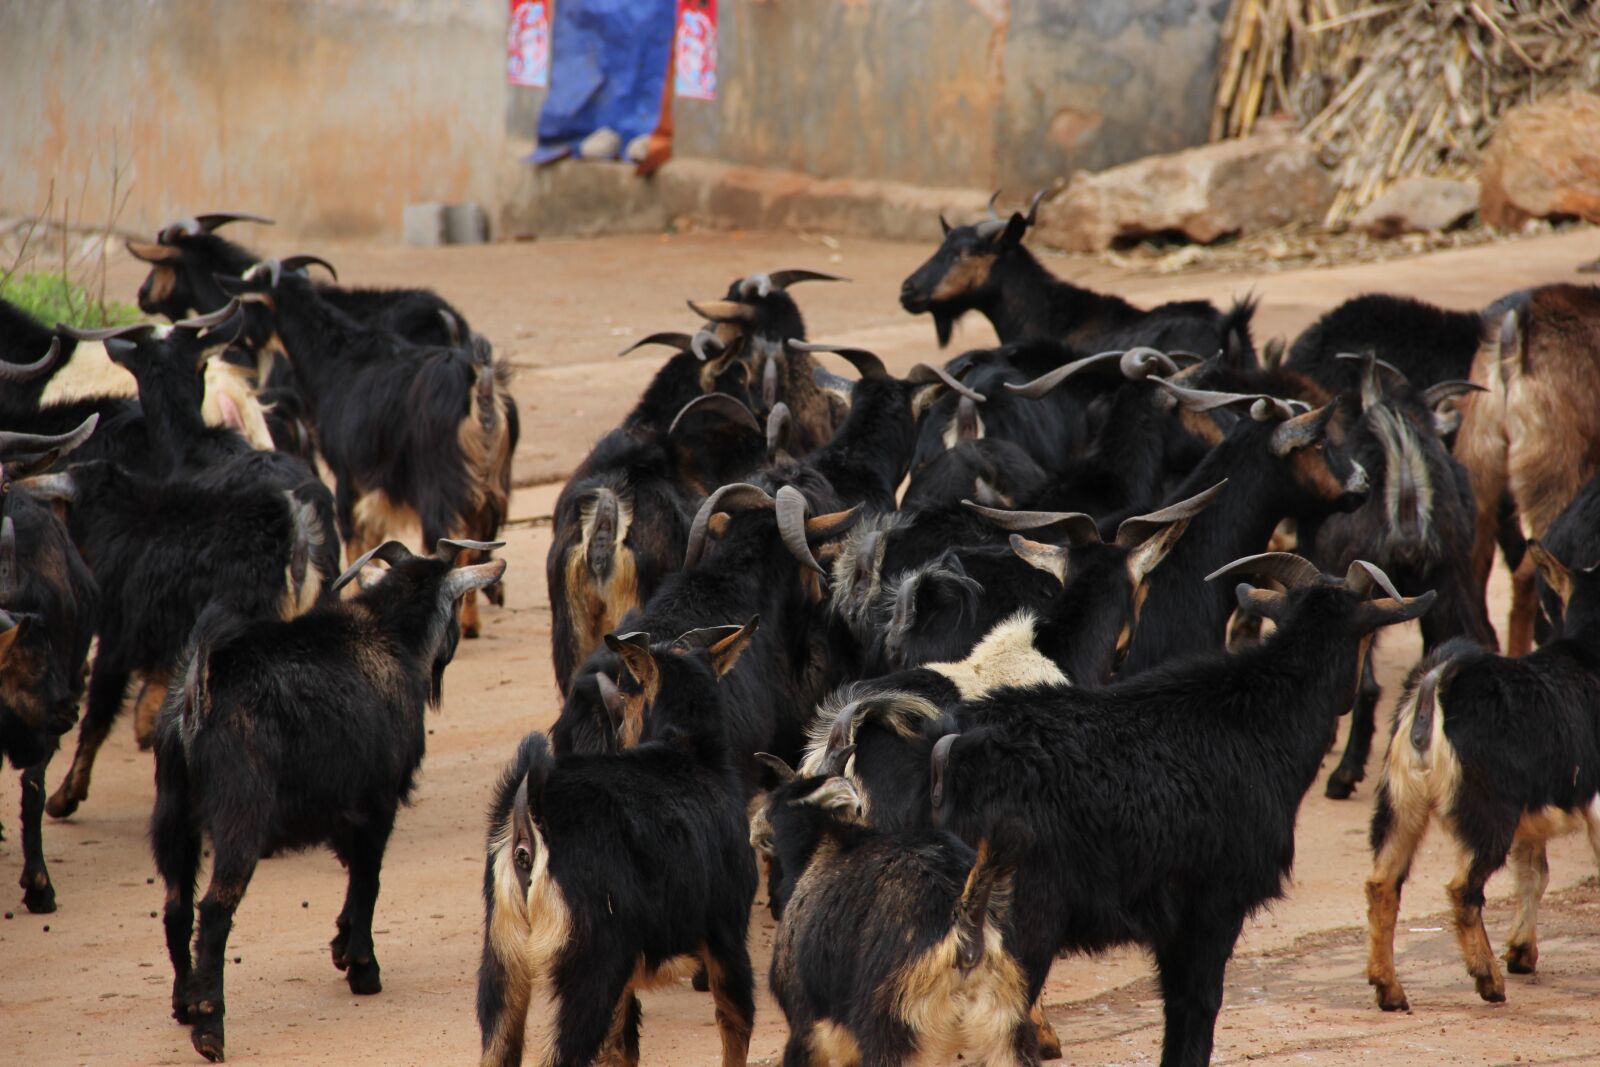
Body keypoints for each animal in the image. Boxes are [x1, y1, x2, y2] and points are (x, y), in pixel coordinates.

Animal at [150, 538, 504, 1063]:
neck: (389, 637)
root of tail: (198, 695)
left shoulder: (343, 809)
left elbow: (353, 873)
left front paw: (341, 947)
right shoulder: (378, 801)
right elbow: (369, 878)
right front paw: (363, 967)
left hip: (172, 816)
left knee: (177, 908)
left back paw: (184, 1004)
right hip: (240, 816)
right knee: (214, 910)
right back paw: (209, 1028)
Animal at [477, 624, 758, 1067]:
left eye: (626, 696)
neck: (693, 753)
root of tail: (530, 817)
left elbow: (621, 1047)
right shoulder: (727, 933)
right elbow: (736, 1025)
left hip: (503, 961)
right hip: (588, 966)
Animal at [755, 752, 1036, 1067]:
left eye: (775, 801)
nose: (756, 832)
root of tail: (967, 918)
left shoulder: (805, 1023)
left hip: (893, 1029)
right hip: (1006, 1029)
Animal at [1364, 482, 1600, 1011]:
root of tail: (1435, 687)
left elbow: (1534, 872)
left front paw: (1523, 952)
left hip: (1401, 801)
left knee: (1382, 883)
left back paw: (1389, 988)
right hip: (1487, 810)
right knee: (1461, 889)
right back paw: (1487, 979)